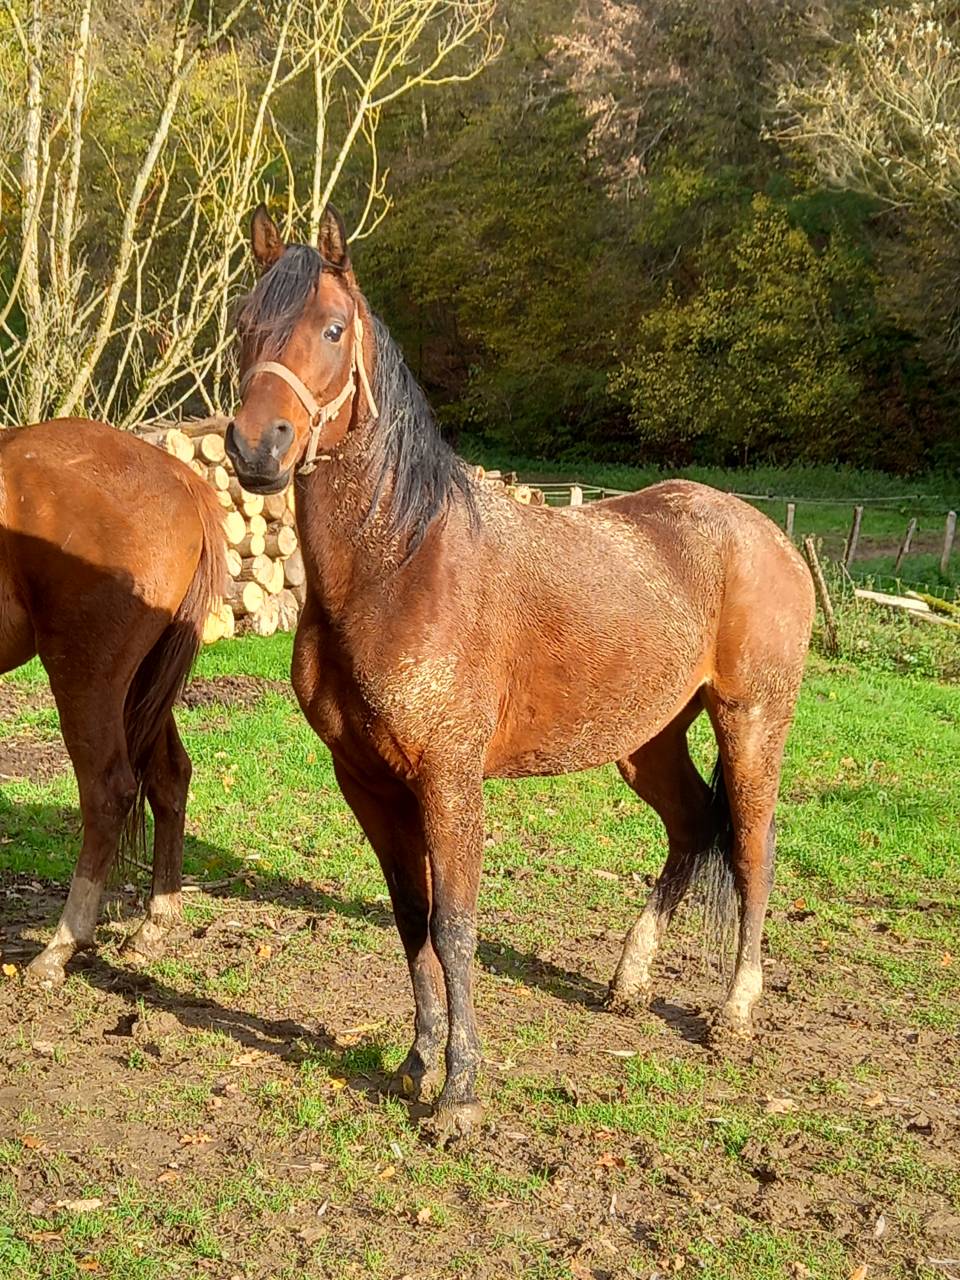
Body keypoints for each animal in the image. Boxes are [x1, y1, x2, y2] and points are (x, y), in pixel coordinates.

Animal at [0, 419, 226, 985]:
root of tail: (180, 478)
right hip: (145, 685)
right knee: (170, 776)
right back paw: (154, 927)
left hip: (87, 677)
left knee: (108, 792)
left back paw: (60, 946)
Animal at [224, 203, 815, 1137]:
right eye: (245, 325)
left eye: (332, 327)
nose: (256, 448)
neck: (400, 566)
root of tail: (769, 537)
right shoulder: (366, 780)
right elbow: (411, 921)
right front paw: (416, 1065)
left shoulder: (449, 779)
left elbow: (456, 927)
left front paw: (460, 1094)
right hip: (645, 741)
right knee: (692, 830)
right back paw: (628, 983)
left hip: (751, 722)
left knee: (753, 849)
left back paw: (734, 1015)